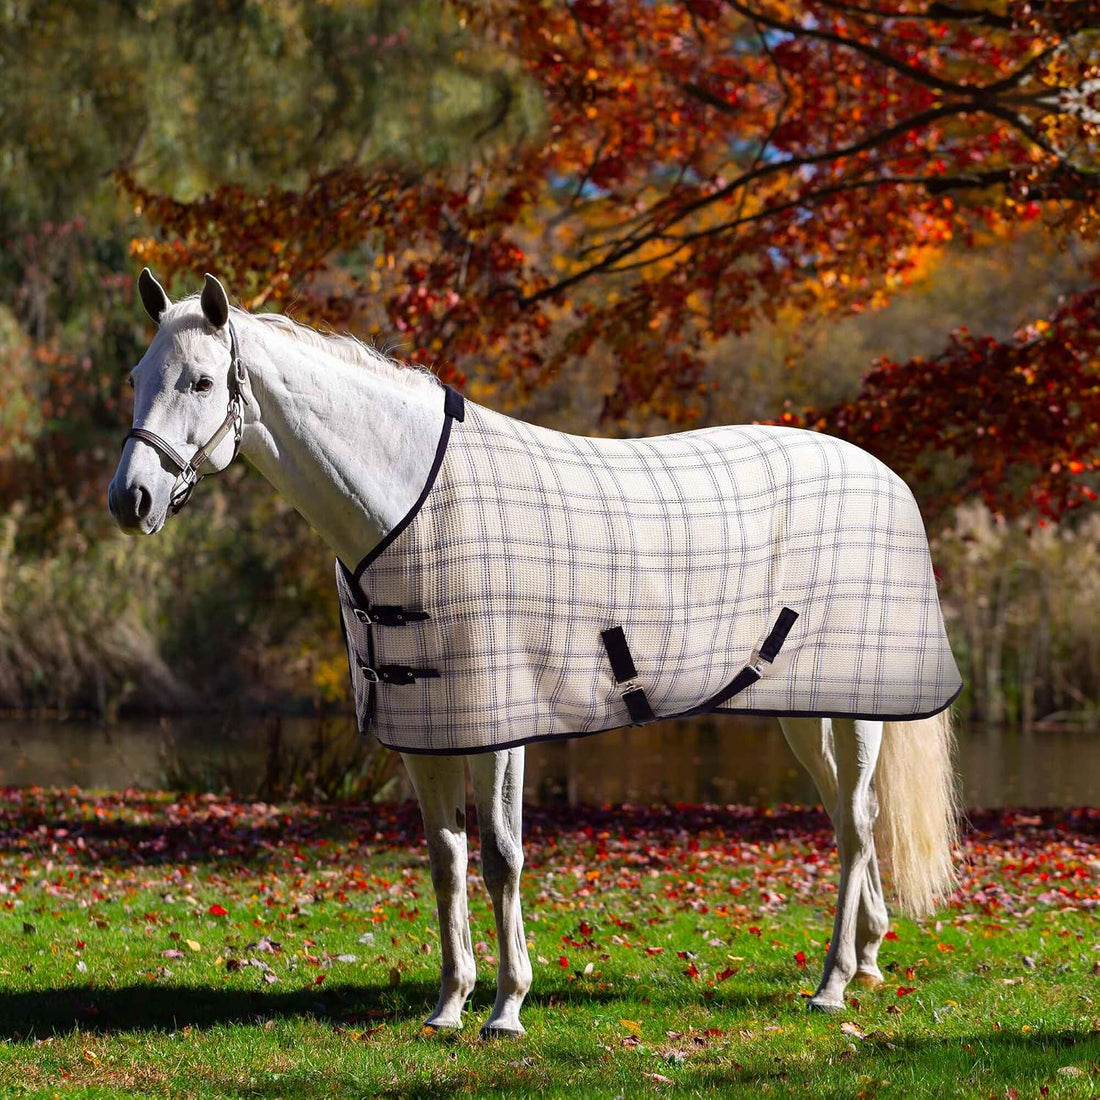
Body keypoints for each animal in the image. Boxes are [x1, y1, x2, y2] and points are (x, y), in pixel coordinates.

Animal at [108, 269, 960, 1037]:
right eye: (137, 377)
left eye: (202, 380)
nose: (131, 499)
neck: (410, 503)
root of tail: (884, 474)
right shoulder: (426, 729)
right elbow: (445, 859)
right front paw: (448, 1005)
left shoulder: (500, 725)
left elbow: (500, 856)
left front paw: (507, 1008)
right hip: (804, 706)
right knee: (849, 816)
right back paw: (870, 957)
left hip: (859, 710)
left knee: (856, 825)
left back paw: (833, 985)